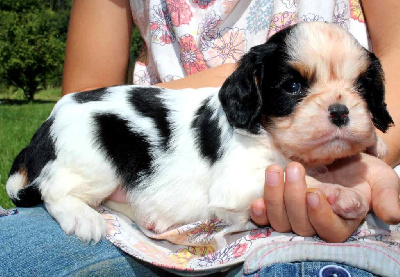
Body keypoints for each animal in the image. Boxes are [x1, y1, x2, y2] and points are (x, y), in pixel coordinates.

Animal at [7, 22, 394, 240]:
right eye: (293, 87)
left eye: (362, 87)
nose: (340, 111)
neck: (269, 135)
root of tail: (49, 122)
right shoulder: (238, 181)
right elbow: (293, 177)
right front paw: (341, 194)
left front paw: (373, 145)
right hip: (95, 161)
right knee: (54, 190)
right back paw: (84, 219)